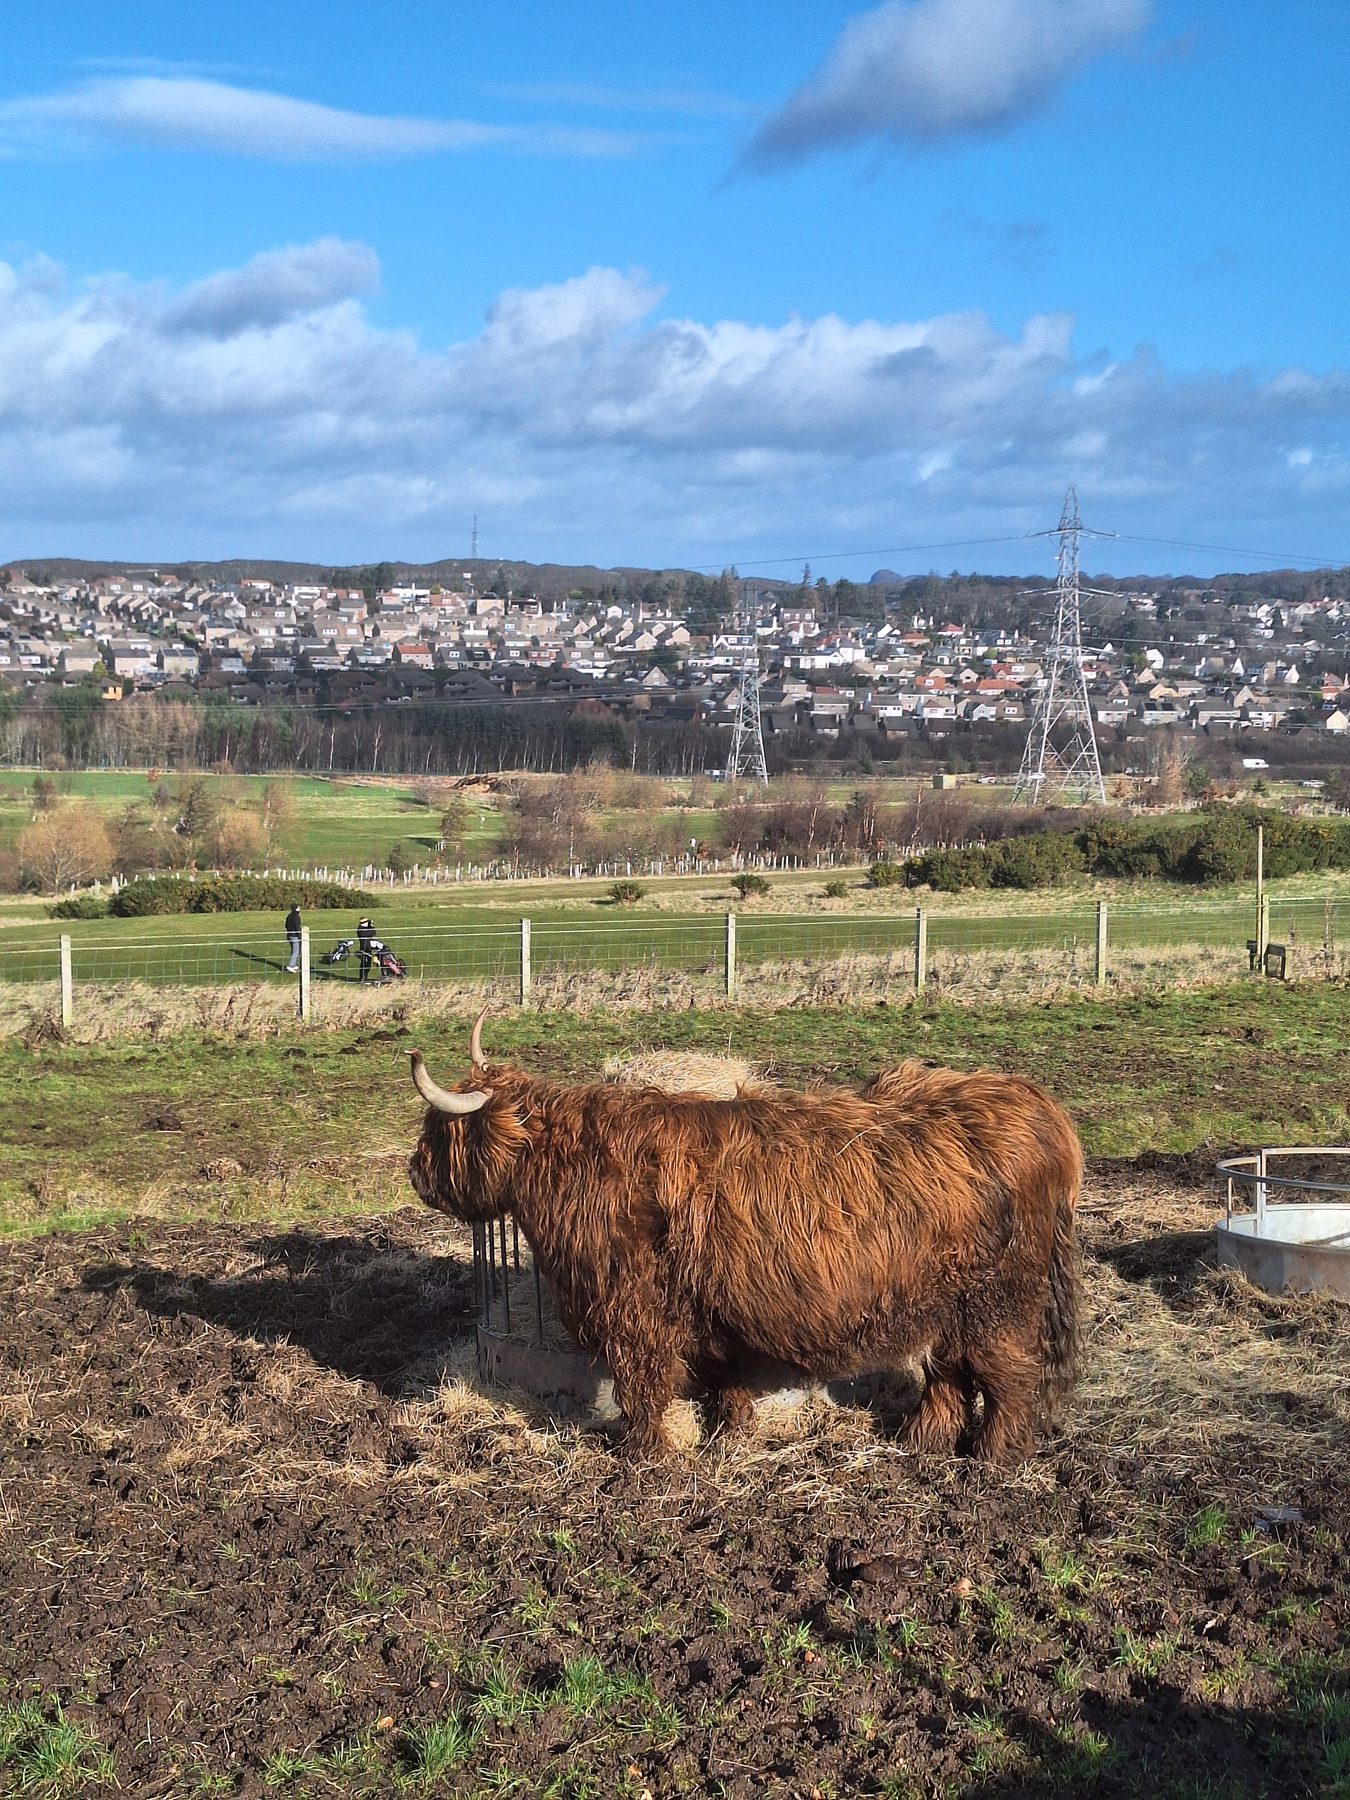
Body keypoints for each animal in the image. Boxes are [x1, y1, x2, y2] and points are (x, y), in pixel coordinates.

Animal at [407, 1012, 1083, 1462]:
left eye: (440, 1130)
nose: (415, 1173)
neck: (564, 1163)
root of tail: (1034, 1107)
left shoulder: (631, 1308)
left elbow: (641, 1382)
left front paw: (648, 1453)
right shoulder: (704, 1302)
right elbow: (719, 1371)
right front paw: (729, 1433)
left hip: (997, 1301)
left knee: (1006, 1375)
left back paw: (992, 1459)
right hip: (943, 1302)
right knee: (949, 1373)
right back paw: (923, 1441)